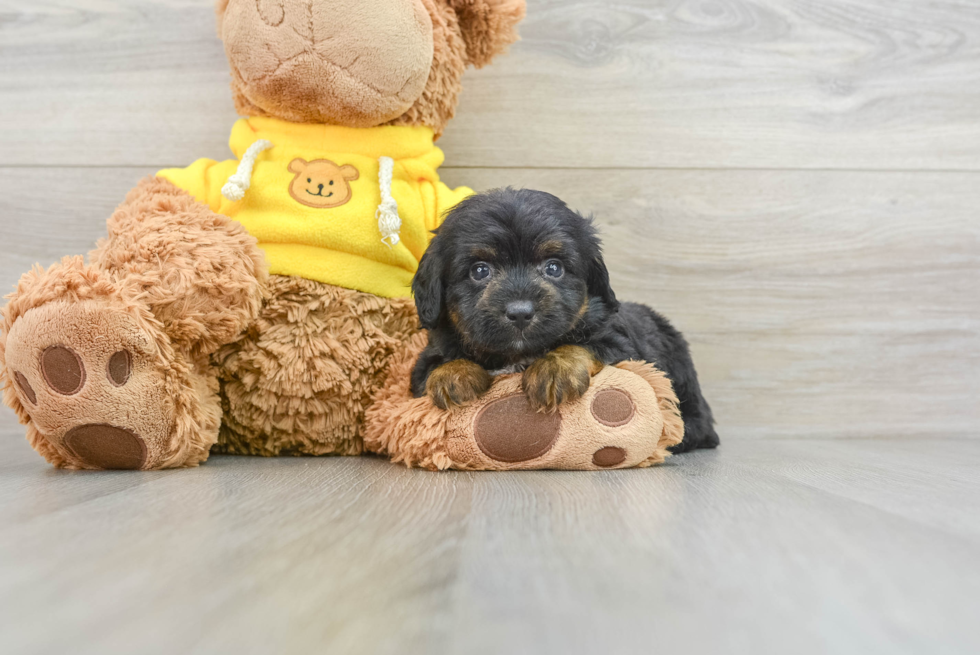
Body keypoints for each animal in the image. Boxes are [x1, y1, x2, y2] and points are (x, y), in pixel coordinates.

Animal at [410, 187, 716, 454]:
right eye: (480, 271)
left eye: (554, 267)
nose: (520, 312)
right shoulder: (422, 366)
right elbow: (435, 364)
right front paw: (454, 374)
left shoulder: (622, 345)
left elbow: (584, 345)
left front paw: (554, 369)